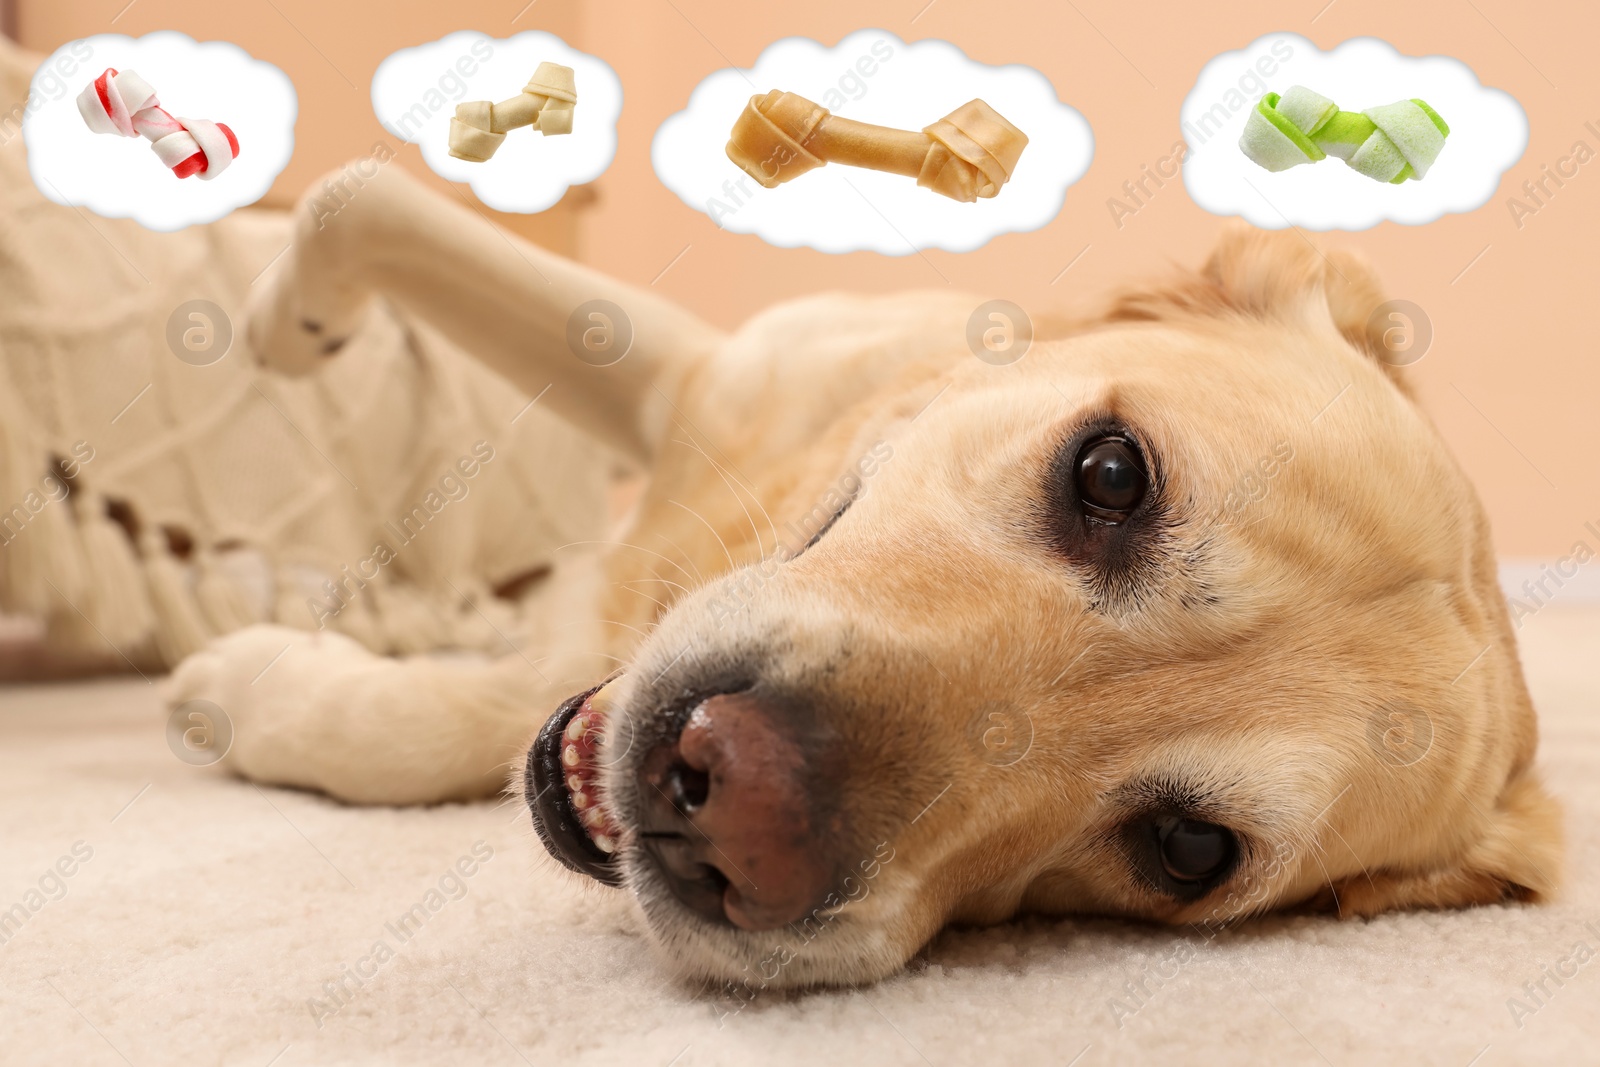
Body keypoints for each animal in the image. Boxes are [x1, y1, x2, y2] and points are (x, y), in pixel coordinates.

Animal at [168, 163, 1555, 991]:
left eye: (1187, 849)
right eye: (1112, 472)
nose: (730, 807)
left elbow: (423, 727)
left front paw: (245, 691)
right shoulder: (691, 370)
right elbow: (358, 196)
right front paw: (289, 327)